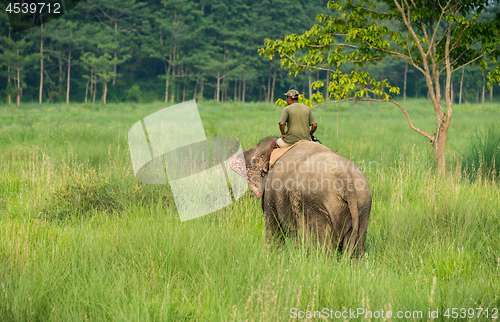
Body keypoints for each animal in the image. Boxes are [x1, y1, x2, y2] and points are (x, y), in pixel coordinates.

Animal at [230, 137, 372, 258]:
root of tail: (345, 177)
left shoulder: (271, 193)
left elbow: (273, 226)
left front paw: (272, 257)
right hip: (363, 203)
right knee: (356, 249)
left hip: (314, 204)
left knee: (322, 247)